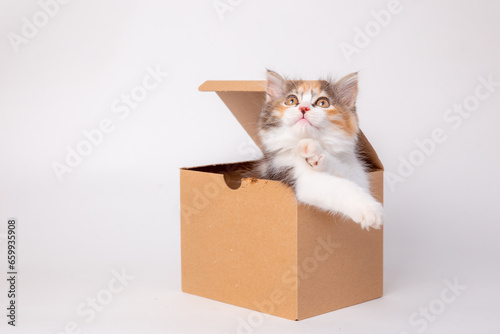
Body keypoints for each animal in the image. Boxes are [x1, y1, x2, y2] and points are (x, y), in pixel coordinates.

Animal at [250, 70, 382, 230]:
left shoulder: (358, 173)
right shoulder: (287, 172)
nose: (304, 108)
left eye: (322, 103)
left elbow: (347, 174)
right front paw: (370, 210)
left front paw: (315, 154)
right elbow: (338, 185)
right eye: (291, 100)